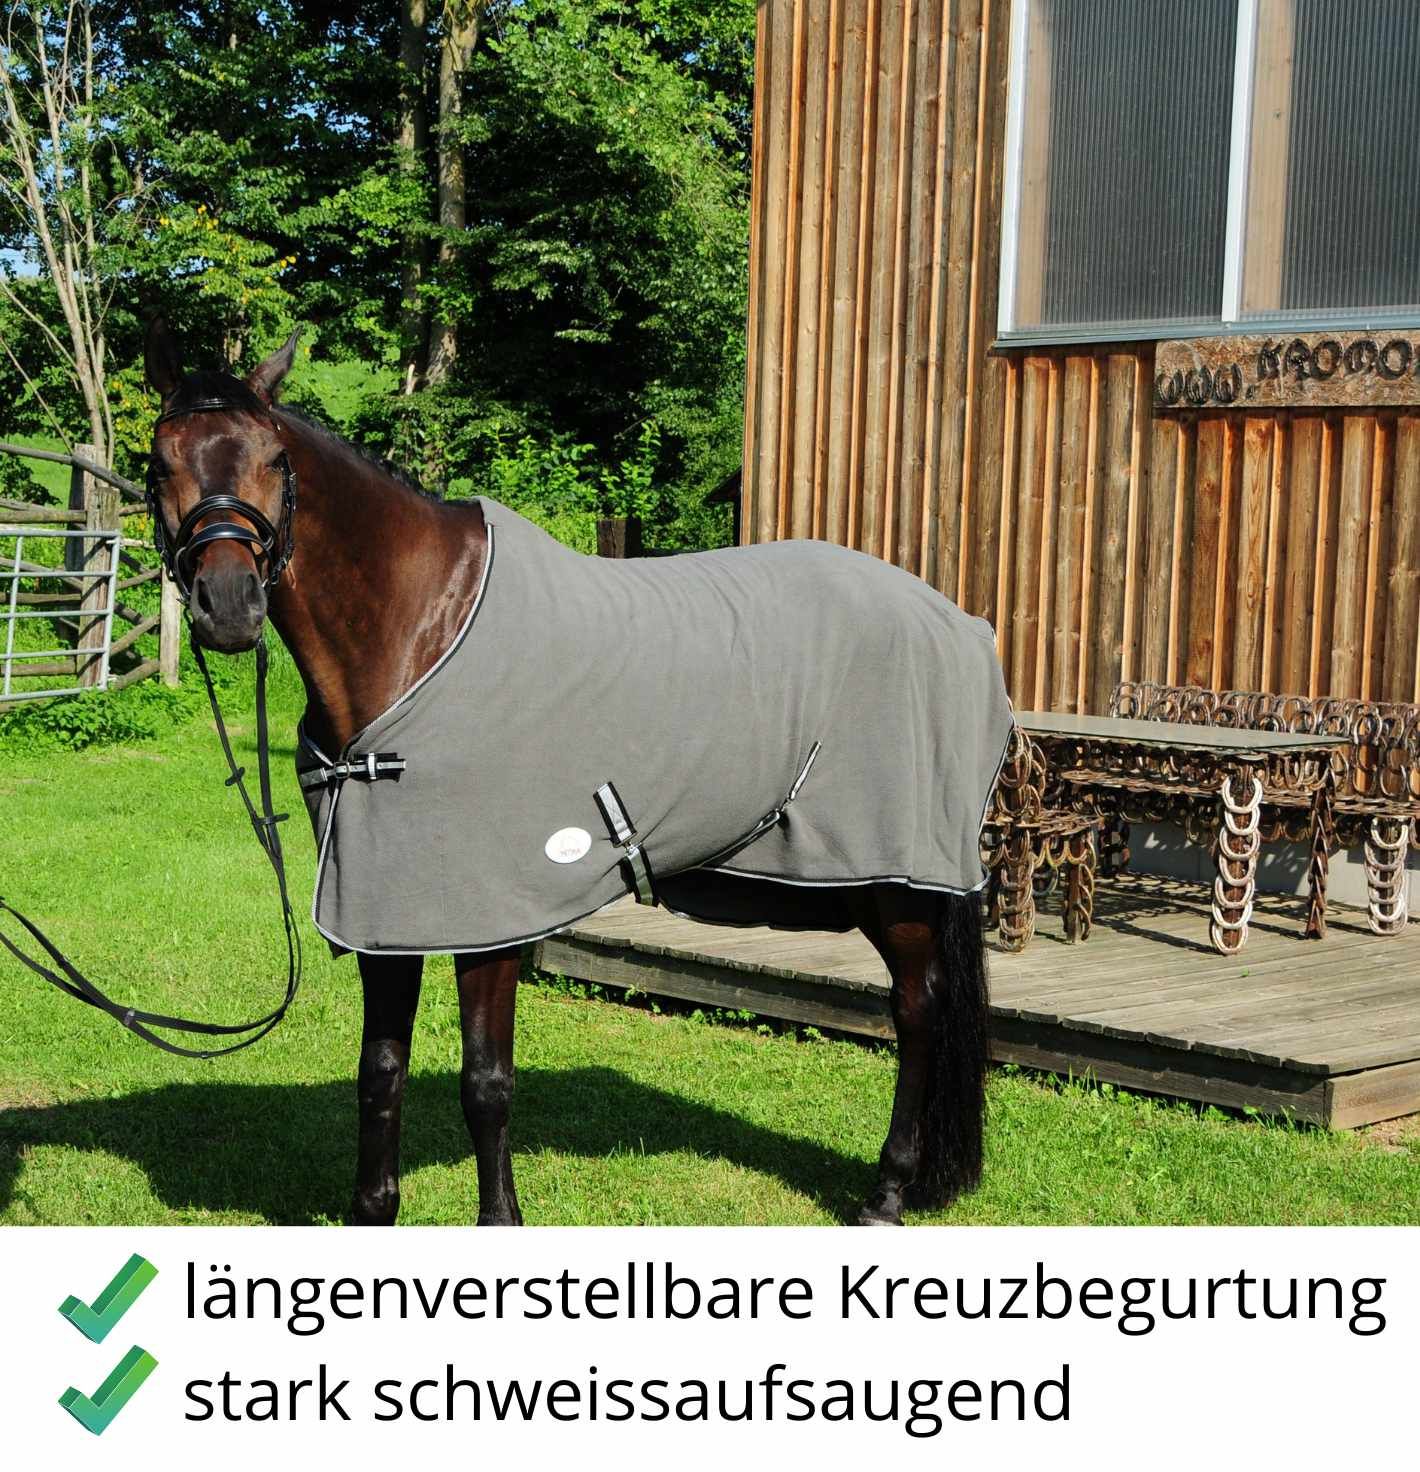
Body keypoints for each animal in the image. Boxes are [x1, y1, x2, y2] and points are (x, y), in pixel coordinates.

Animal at [141, 317, 1003, 1227]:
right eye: (160, 463)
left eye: (275, 460)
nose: (229, 606)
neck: (418, 631)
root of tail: (959, 622)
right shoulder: (384, 905)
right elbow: (380, 1071)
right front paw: (374, 1210)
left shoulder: (487, 917)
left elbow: (486, 1083)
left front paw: (500, 1221)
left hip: (897, 882)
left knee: (918, 1012)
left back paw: (888, 1191)